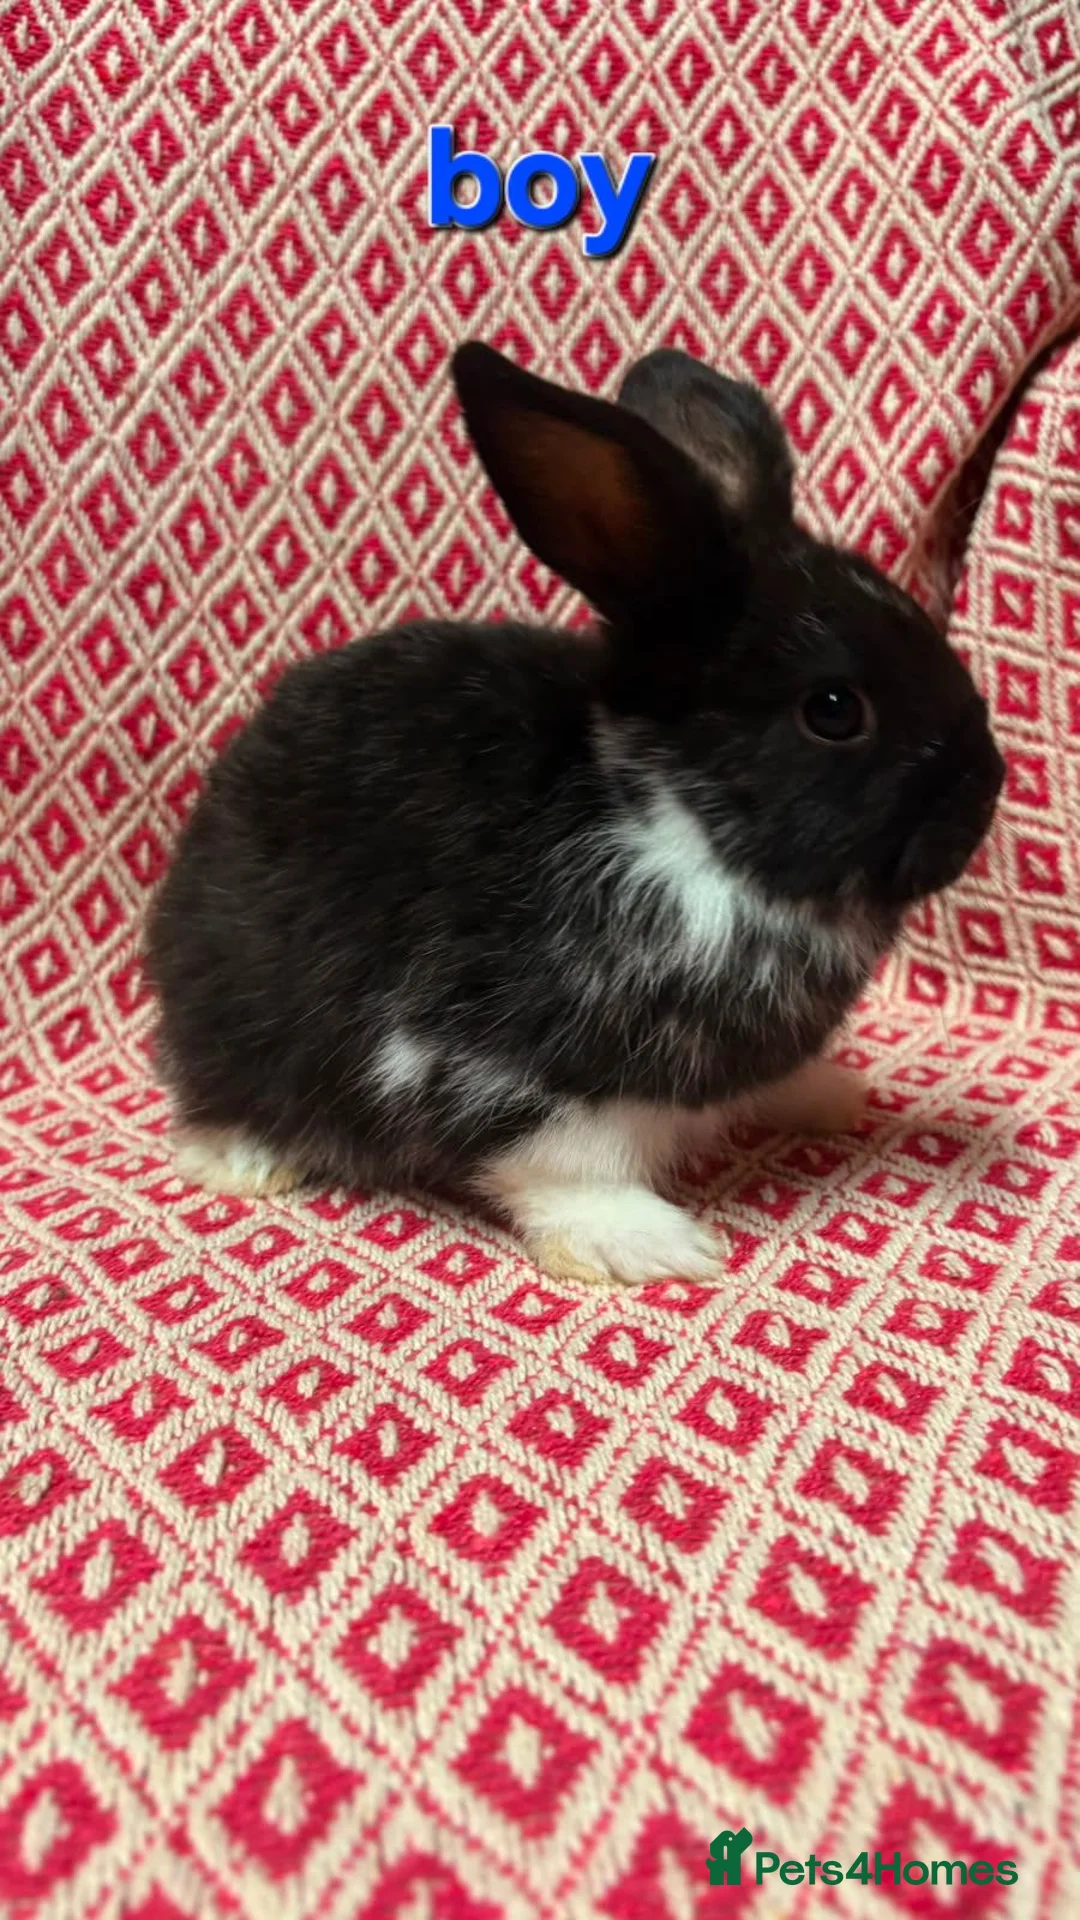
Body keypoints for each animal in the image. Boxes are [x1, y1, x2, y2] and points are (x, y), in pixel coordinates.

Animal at [145, 340, 1005, 1285]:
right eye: (835, 710)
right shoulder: (491, 1066)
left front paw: (829, 1095)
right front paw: (650, 1244)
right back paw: (246, 1160)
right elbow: (566, 1169)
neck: (683, 827)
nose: (985, 792)